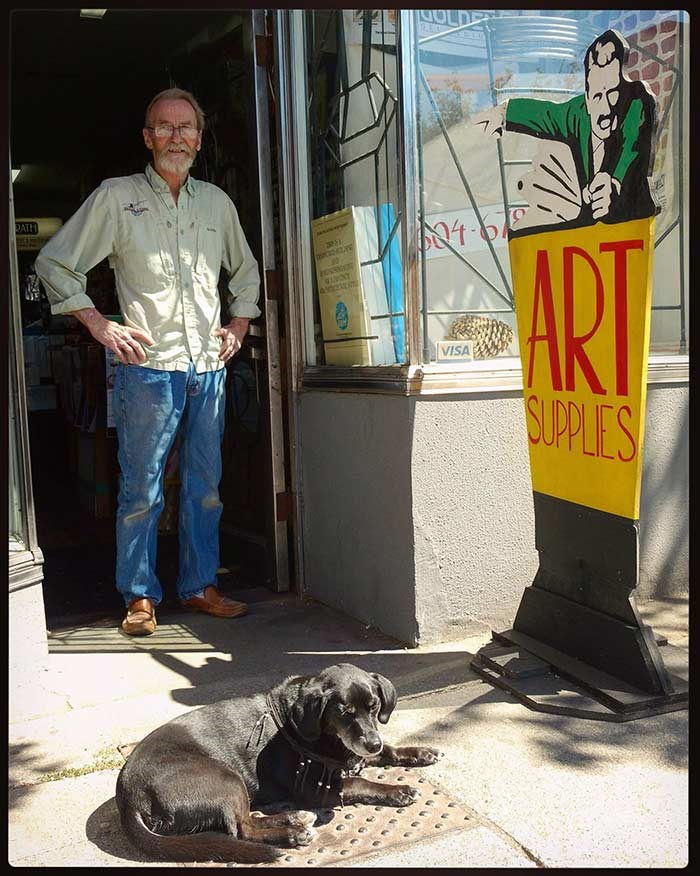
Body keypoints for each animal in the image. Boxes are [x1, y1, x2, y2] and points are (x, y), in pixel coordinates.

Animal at [115, 664, 442, 864]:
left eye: (374, 707)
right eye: (344, 712)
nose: (372, 742)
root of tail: (128, 796)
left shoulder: (354, 751)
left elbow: (389, 750)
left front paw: (421, 752)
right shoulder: (316, 787)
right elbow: (360, 781)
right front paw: (398, 791)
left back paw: (295, 818)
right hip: (226, 779)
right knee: (241, 828)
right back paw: (293, 833)